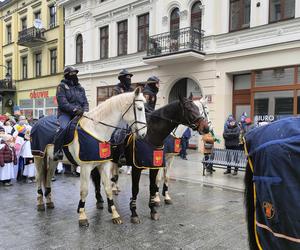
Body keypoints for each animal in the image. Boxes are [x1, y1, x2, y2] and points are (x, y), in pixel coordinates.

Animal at [31, 88, 147, 227]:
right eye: (140, 108)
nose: (144, 134)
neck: (97, 130)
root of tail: (38, 122)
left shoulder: (104, 164)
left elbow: (108, 188)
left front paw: (115, 214)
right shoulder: (86, 167)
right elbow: (84, 190)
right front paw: (82, 215)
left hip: (53, 159)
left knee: (48, 177)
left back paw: (49, 201)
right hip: (38, 156)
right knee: (39, 178)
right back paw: (40, 203)